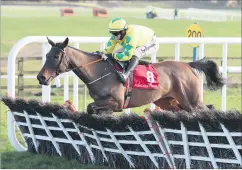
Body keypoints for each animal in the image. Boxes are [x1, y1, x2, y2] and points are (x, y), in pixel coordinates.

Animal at [36, 37, 226, 114]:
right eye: (46, 55)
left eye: (56, 56)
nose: (41, 77)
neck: (99, 72)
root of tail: (188, 65)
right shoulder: (103, 103)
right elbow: (92, 109)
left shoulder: (117, 103)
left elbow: (92, 108)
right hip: (169, 102)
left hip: (192, 101)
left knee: (208, 109)